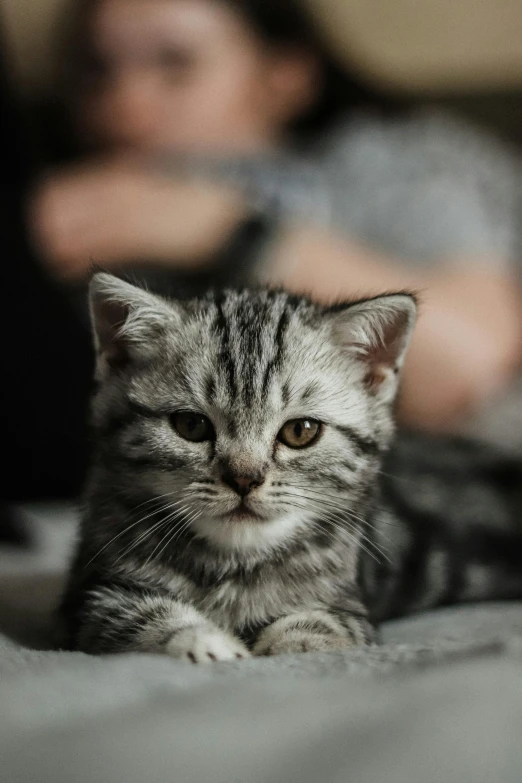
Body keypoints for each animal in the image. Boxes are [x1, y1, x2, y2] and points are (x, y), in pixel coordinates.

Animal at [58, 274, 520, 660]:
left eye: (300, 431)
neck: (235, 566)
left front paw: (293, 643)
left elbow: (326, 623)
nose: (244, 478)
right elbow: (136, 617)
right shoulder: (88, 598)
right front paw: (205, 642)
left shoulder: (351, 608)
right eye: (191, 426)